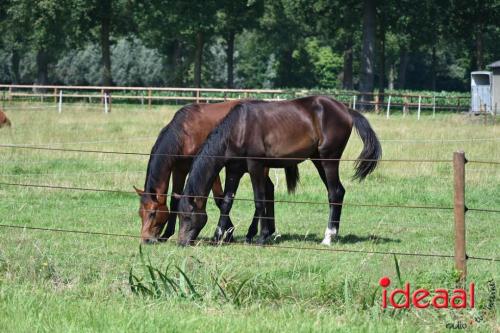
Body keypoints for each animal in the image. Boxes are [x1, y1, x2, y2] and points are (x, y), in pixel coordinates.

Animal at [178, 94, 380, 245]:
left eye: (188, 216)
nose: (182, 242)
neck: (239, 128)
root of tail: (345, 109)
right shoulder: (234, 169)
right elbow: (227, 201)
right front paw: (219, 236)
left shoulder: (255, 166)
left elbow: (259, 200)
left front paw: (260, 237)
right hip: (318, 160)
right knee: (339, 191)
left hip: (329, 159)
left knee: (334, 192)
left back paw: (328, 237)